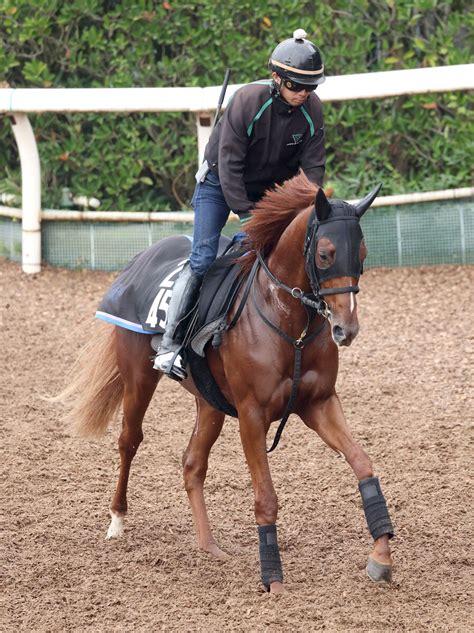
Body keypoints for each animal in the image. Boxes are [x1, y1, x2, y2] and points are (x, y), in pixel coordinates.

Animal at [64, 172, 396, 592]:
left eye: (363, 255)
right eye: (325, 254)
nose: (345, 329)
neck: (288, 324)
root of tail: (141, 259)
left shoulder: (319, 402)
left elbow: (363, 464)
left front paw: (381, 555)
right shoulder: (253, 415)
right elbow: (266, 497)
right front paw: (274, 579)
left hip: (209, 403)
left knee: (192, 464)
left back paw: (209, 546)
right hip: (138, 377)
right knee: (129, 441)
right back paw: (117, 520)